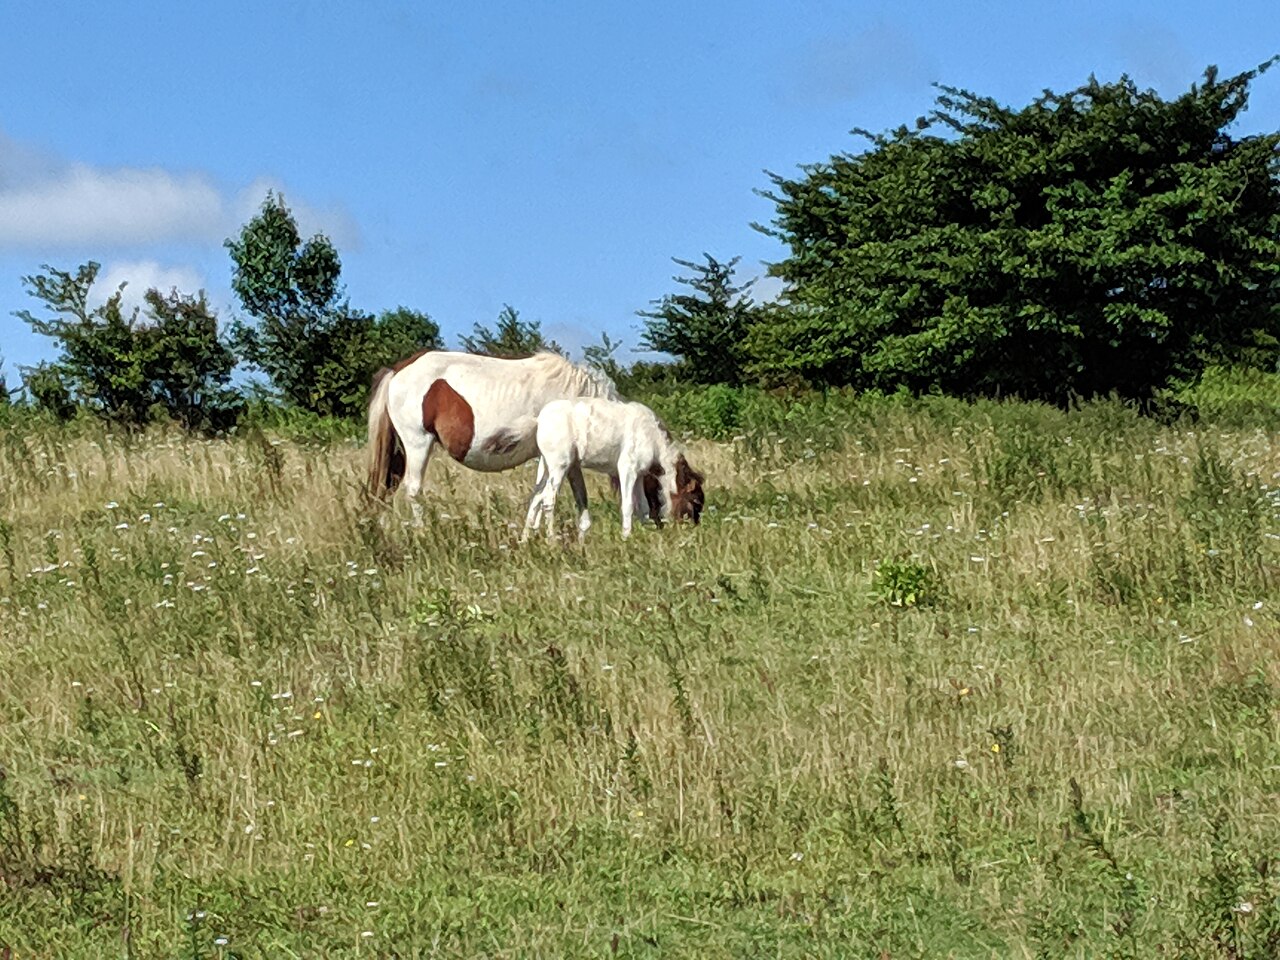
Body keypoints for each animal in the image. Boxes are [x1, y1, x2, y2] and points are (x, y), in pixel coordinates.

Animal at [366, 350, 620, 520]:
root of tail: (397, 371)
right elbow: (543, 495)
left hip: (400, 449)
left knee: (386, 488)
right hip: (417, 443)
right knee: (412, 490)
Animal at [521, 397, 705, 541]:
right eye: (694, 501)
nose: (692, 528)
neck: (653, 438)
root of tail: (539, 420)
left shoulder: (639, 474)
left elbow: (643, 507)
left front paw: (647, 535)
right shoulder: (627, 468)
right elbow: (628, 504)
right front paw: (626, 537)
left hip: (548, 466)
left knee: (536, 496)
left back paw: (525, 539)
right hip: (559, 465)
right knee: (548, 498)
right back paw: (551, 539)